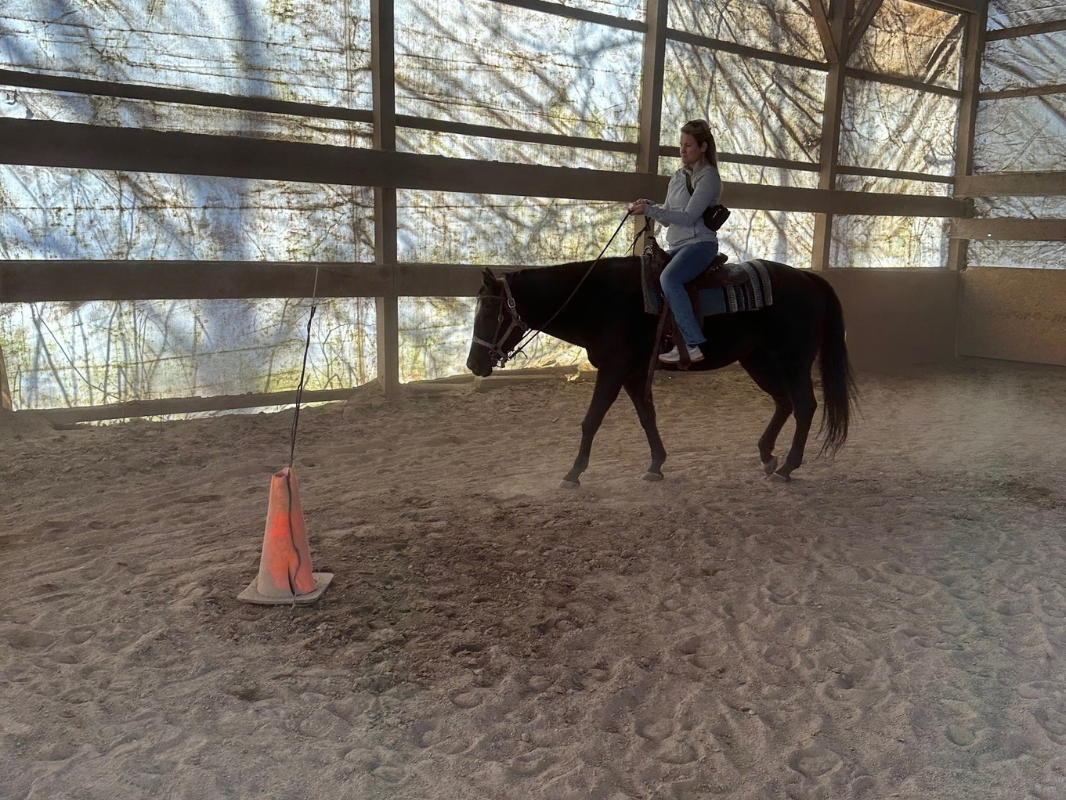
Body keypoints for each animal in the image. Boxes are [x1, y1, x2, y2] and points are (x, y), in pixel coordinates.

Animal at [466, 241, 857, 486]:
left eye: (487, 311)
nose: (473, 364)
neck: (599, 299)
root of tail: (809, 278)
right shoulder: (633, 372)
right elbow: (646, 415)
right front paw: (656, 465)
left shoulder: (613, 368)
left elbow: (591, 420)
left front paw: (573, 473)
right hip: (757, 361)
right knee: (784, 402)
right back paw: (767, 457)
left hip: (793, 363)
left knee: (804, 406)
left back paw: (787, 466)